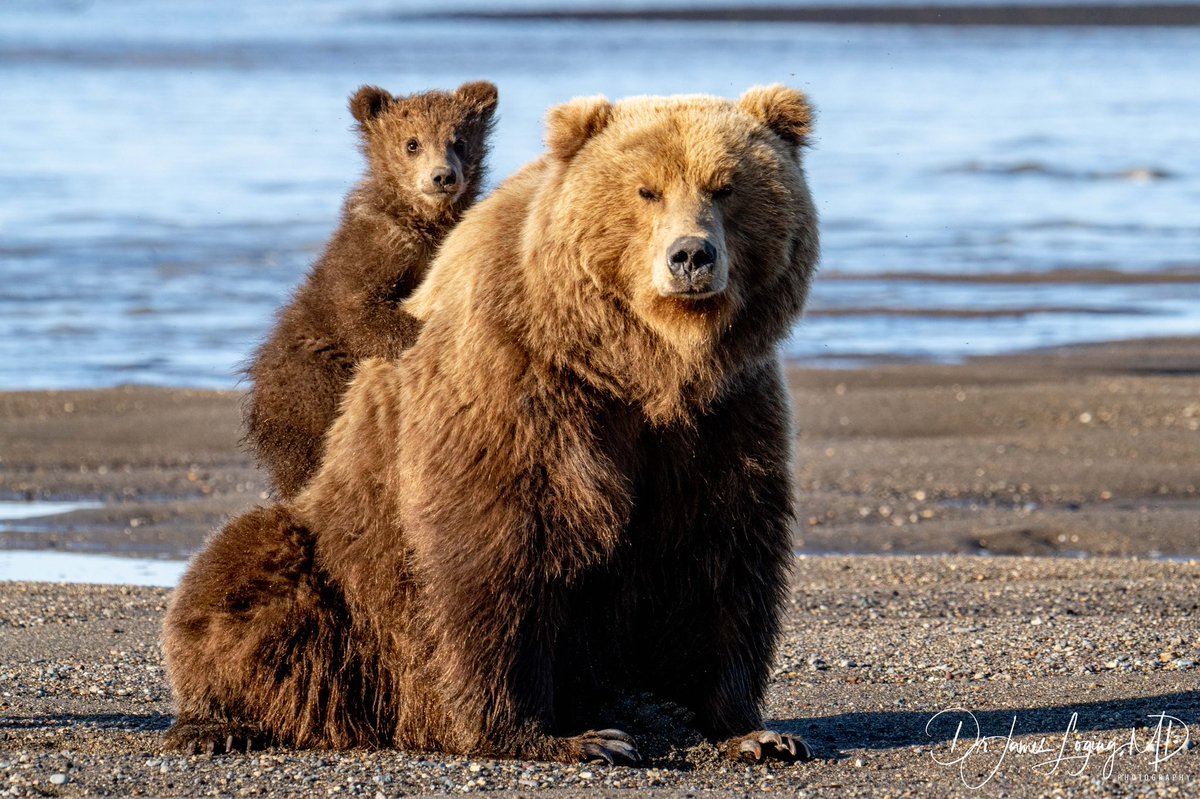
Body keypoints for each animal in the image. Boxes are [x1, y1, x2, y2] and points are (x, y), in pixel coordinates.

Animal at [244, 80, 499, 499]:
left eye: (459, 140)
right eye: (412, 143)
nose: (442, 177)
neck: (423, 223)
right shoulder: (373, 251)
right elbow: (360, 312)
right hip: (308, 380)